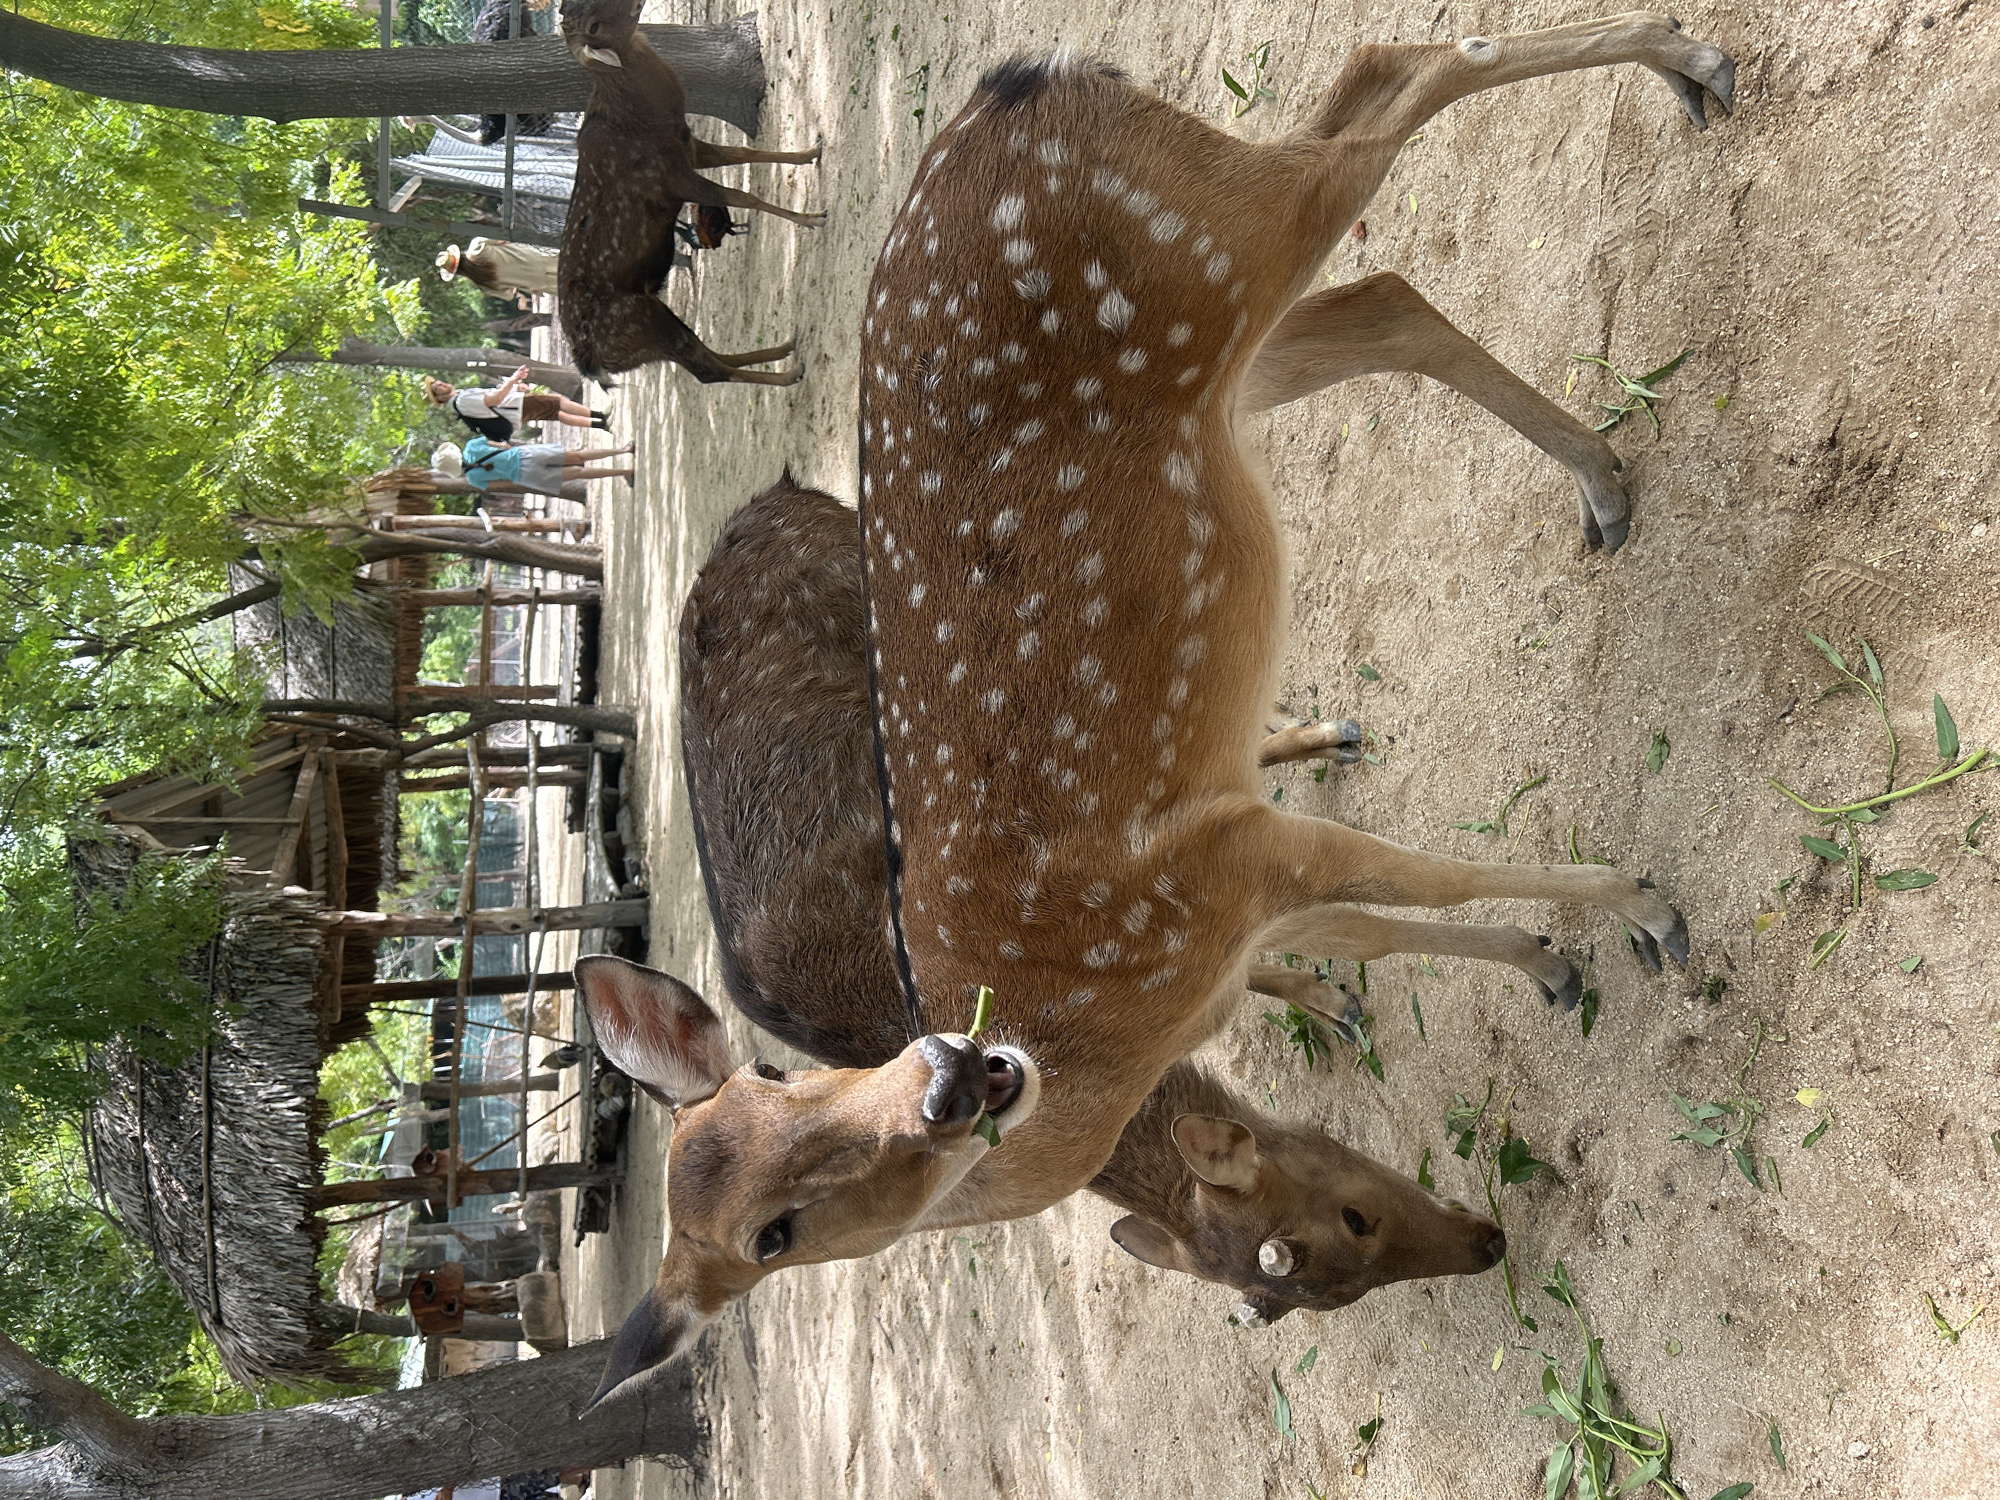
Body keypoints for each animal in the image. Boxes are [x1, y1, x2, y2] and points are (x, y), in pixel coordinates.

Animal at [557, 0, 825, 387]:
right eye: (593, 26)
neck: (650, 120)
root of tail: (591, 362)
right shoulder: (669, 179)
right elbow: (744, 197)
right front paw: (812, 219)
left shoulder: (689, 149)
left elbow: (746, 152)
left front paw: (811, 151)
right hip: (642, 323)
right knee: (709, 370)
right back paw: (790, 371)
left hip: (648, 334)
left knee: (706, 357)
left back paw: (784, 349)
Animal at [577, 13, 1727, 1408]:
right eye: (770, 1235)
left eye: (773, 1076)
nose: (949, 1080)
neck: (1107, 1036)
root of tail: (1019, 89)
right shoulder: (1226, 890)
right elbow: (1380, 927)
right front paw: (1554, 966)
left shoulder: (1228, 861)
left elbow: (1429, 883)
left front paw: (1649, 913)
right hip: (1227, 328)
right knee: (1381, 268)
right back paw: (1603, 475)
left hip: (1215, 245)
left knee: (1411, 77)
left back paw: (1696, 72)